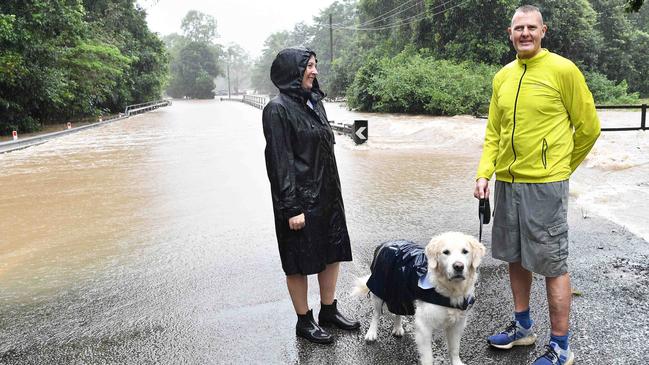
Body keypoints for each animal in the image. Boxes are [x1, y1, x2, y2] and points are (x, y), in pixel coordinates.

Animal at [352, 232, 484, 364]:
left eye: (465, 251)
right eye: (446, 252)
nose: (458, 266)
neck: (450, 289)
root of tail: (386, 243)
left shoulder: (458, 324)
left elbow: (455, 349)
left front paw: (456, 361)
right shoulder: (424, 325)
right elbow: (428, 357)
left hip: (399, 291)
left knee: (397, 311)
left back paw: (398, 328)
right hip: (379, 289)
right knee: (376, 314)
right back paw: (371, 333)